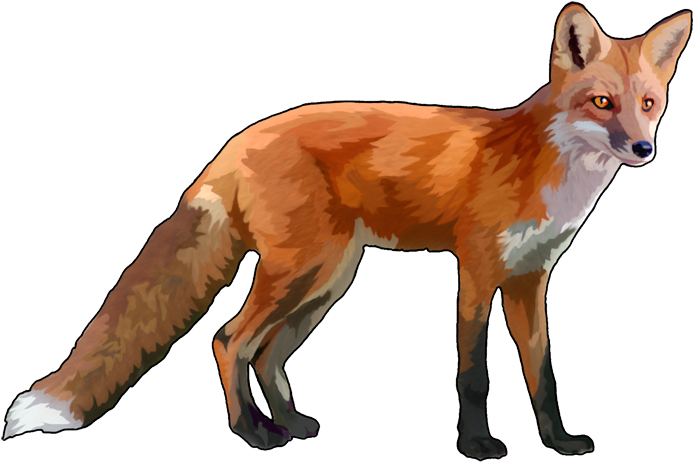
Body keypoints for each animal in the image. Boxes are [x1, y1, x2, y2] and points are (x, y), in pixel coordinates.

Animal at [3, 3, 691, 458]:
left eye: (649, 103)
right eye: (601, 102)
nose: (643, 147)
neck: (546, 167)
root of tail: (238, 140)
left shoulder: (530, 280)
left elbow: (542, 373)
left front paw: (559, 442)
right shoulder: (476, 271)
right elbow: (472, 371)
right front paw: (477, 445)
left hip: (327, 279)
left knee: (266, 354)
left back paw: (288, 424)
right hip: (302, 270)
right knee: (230, 340)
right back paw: (252, 434)